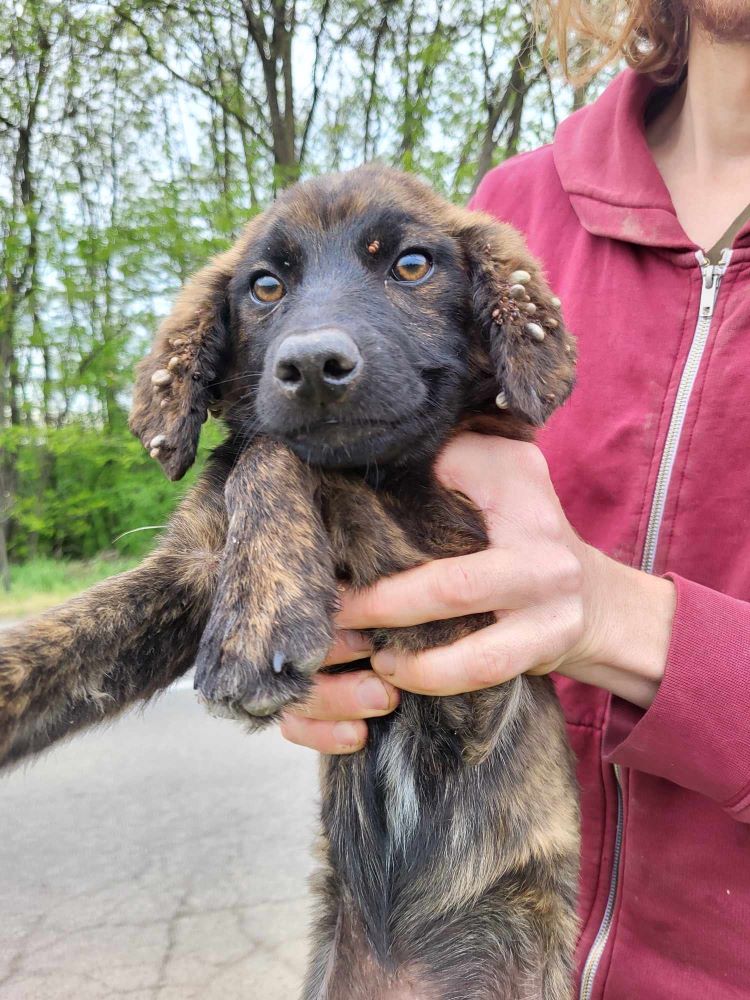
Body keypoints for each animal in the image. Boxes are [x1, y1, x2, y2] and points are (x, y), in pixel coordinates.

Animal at [0, 168, 580, 996]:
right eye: (265, 286)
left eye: (412, 264)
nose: (310, 368)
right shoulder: (184, 571)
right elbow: (46, 651)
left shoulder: (469, 647)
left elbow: (281, 451)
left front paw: (258, 622)